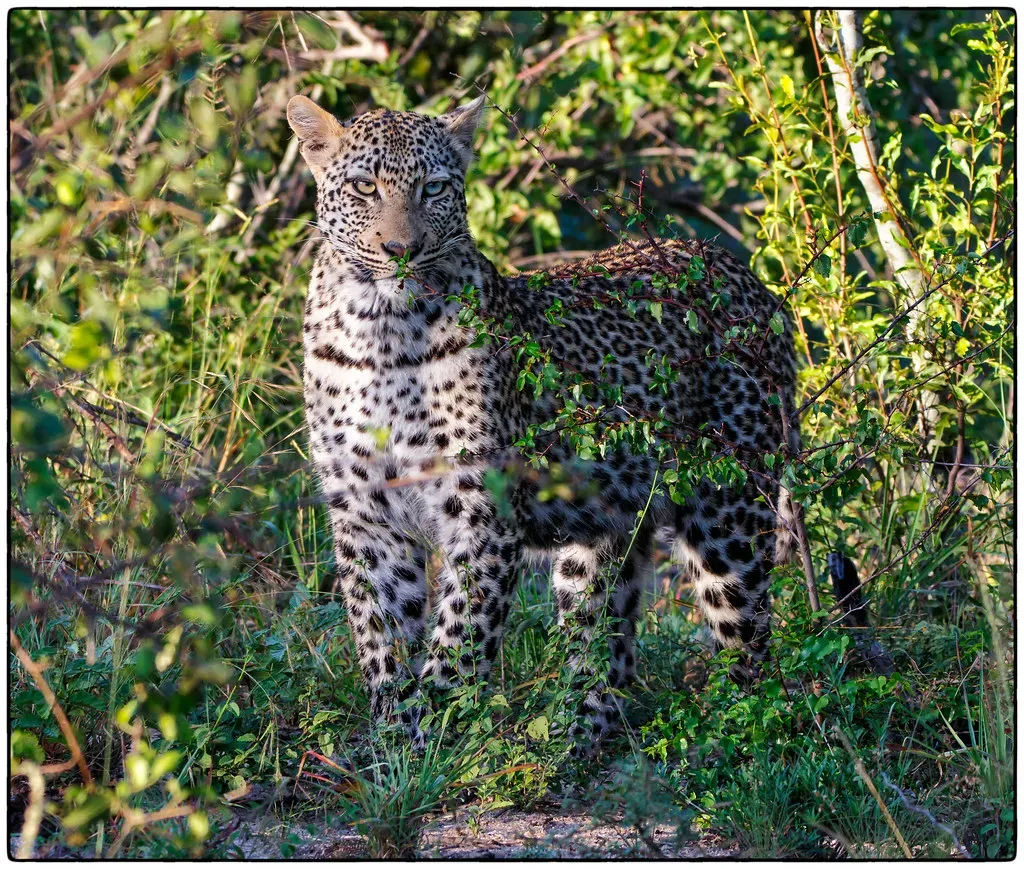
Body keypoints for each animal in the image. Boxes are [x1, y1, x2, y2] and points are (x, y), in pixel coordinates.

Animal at [286, 93, 799, 754]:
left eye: (432, 188)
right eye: (364, 186)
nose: (403, 251)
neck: (381, 329)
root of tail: (752, 280)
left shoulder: (481, 508)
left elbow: (460, 637)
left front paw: (440, 739)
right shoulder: (363, 510)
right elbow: (381, 635)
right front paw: (393, 746)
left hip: (729, 516)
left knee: (753, 650)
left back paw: (739, 743)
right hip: (603, 534)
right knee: (607, 650)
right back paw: (571, 744)